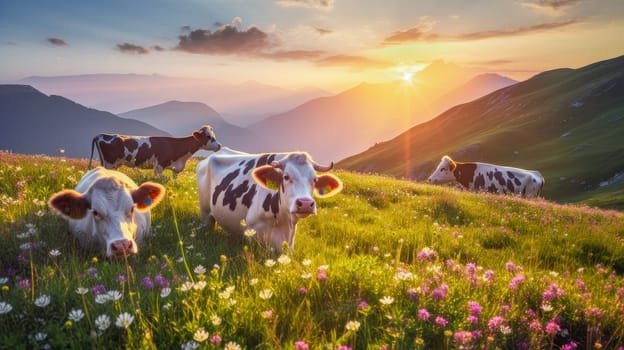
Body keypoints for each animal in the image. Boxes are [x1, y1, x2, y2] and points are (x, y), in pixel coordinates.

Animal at [89, 124, 221, 176]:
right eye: (208, 137)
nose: (219, 145)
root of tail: (102, 134)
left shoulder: (175, 168)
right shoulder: (159, 166)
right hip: (109, 164)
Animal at [197, 147, 344, 252]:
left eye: (314, 180)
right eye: (286, 176)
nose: (306, 204)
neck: (284, 223)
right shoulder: (251, 233)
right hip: (205, 213)